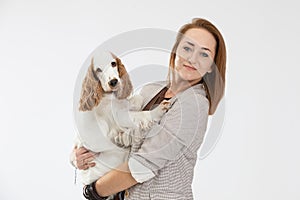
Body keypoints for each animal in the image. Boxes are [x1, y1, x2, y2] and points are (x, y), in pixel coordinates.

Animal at [72, 51, 168, 184]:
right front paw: (158, 110)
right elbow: (139, 115)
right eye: (98, 70)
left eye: (113, 63)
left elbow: (137, 99)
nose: (113, 82)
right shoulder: (118, 117)